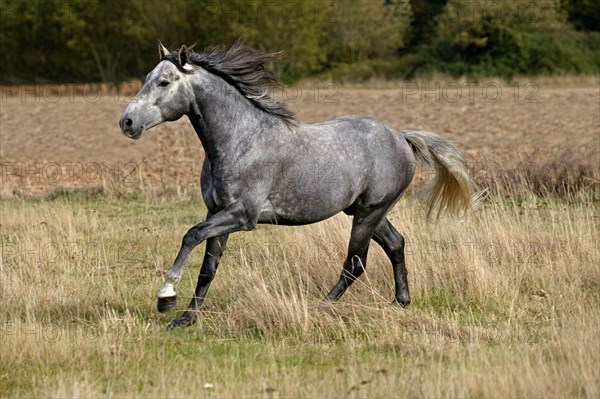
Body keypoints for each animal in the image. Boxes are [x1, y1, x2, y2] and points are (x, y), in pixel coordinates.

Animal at [118, 40, 474, 330]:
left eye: (164, 81)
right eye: (147, 78)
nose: (127, 122)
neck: (240, 140)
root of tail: (401, 136)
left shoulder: (242, 215)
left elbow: (190, 235)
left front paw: (166, 298)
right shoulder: (216, 211)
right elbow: (208, 268)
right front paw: (186, 318)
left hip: (369, 213)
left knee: (354, 263)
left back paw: (321, 308)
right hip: (366, 211)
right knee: (396, 244)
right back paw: (400, 301)